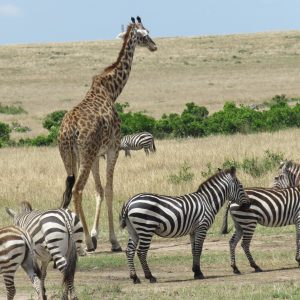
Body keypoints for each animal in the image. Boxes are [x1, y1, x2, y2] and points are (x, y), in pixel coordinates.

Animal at [58, 15, 157, 251]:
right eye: (146, 33)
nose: (154, 46)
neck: (111, 91)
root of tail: (69, 131)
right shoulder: (113, 149)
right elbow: (110, 190)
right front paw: (112, 241)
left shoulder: (97, 155)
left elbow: (99, 190)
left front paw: (95, 234)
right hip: (84, 155)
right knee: (77, 190)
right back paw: (85, 242)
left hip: (70, 157)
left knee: (68, 190)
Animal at [120, 166, 251, 284]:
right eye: (241, 186)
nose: (249, 204)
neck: (208, 201)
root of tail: (130, 202)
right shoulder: (202, 227)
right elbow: (199, 249)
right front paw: (199, 273)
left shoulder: (193, 230)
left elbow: (193, 250)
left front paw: (195, 271)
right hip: (146, 228)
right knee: (141, 252)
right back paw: (150, 277)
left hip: (133, 230)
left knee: (129, 251)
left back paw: (135, 278)